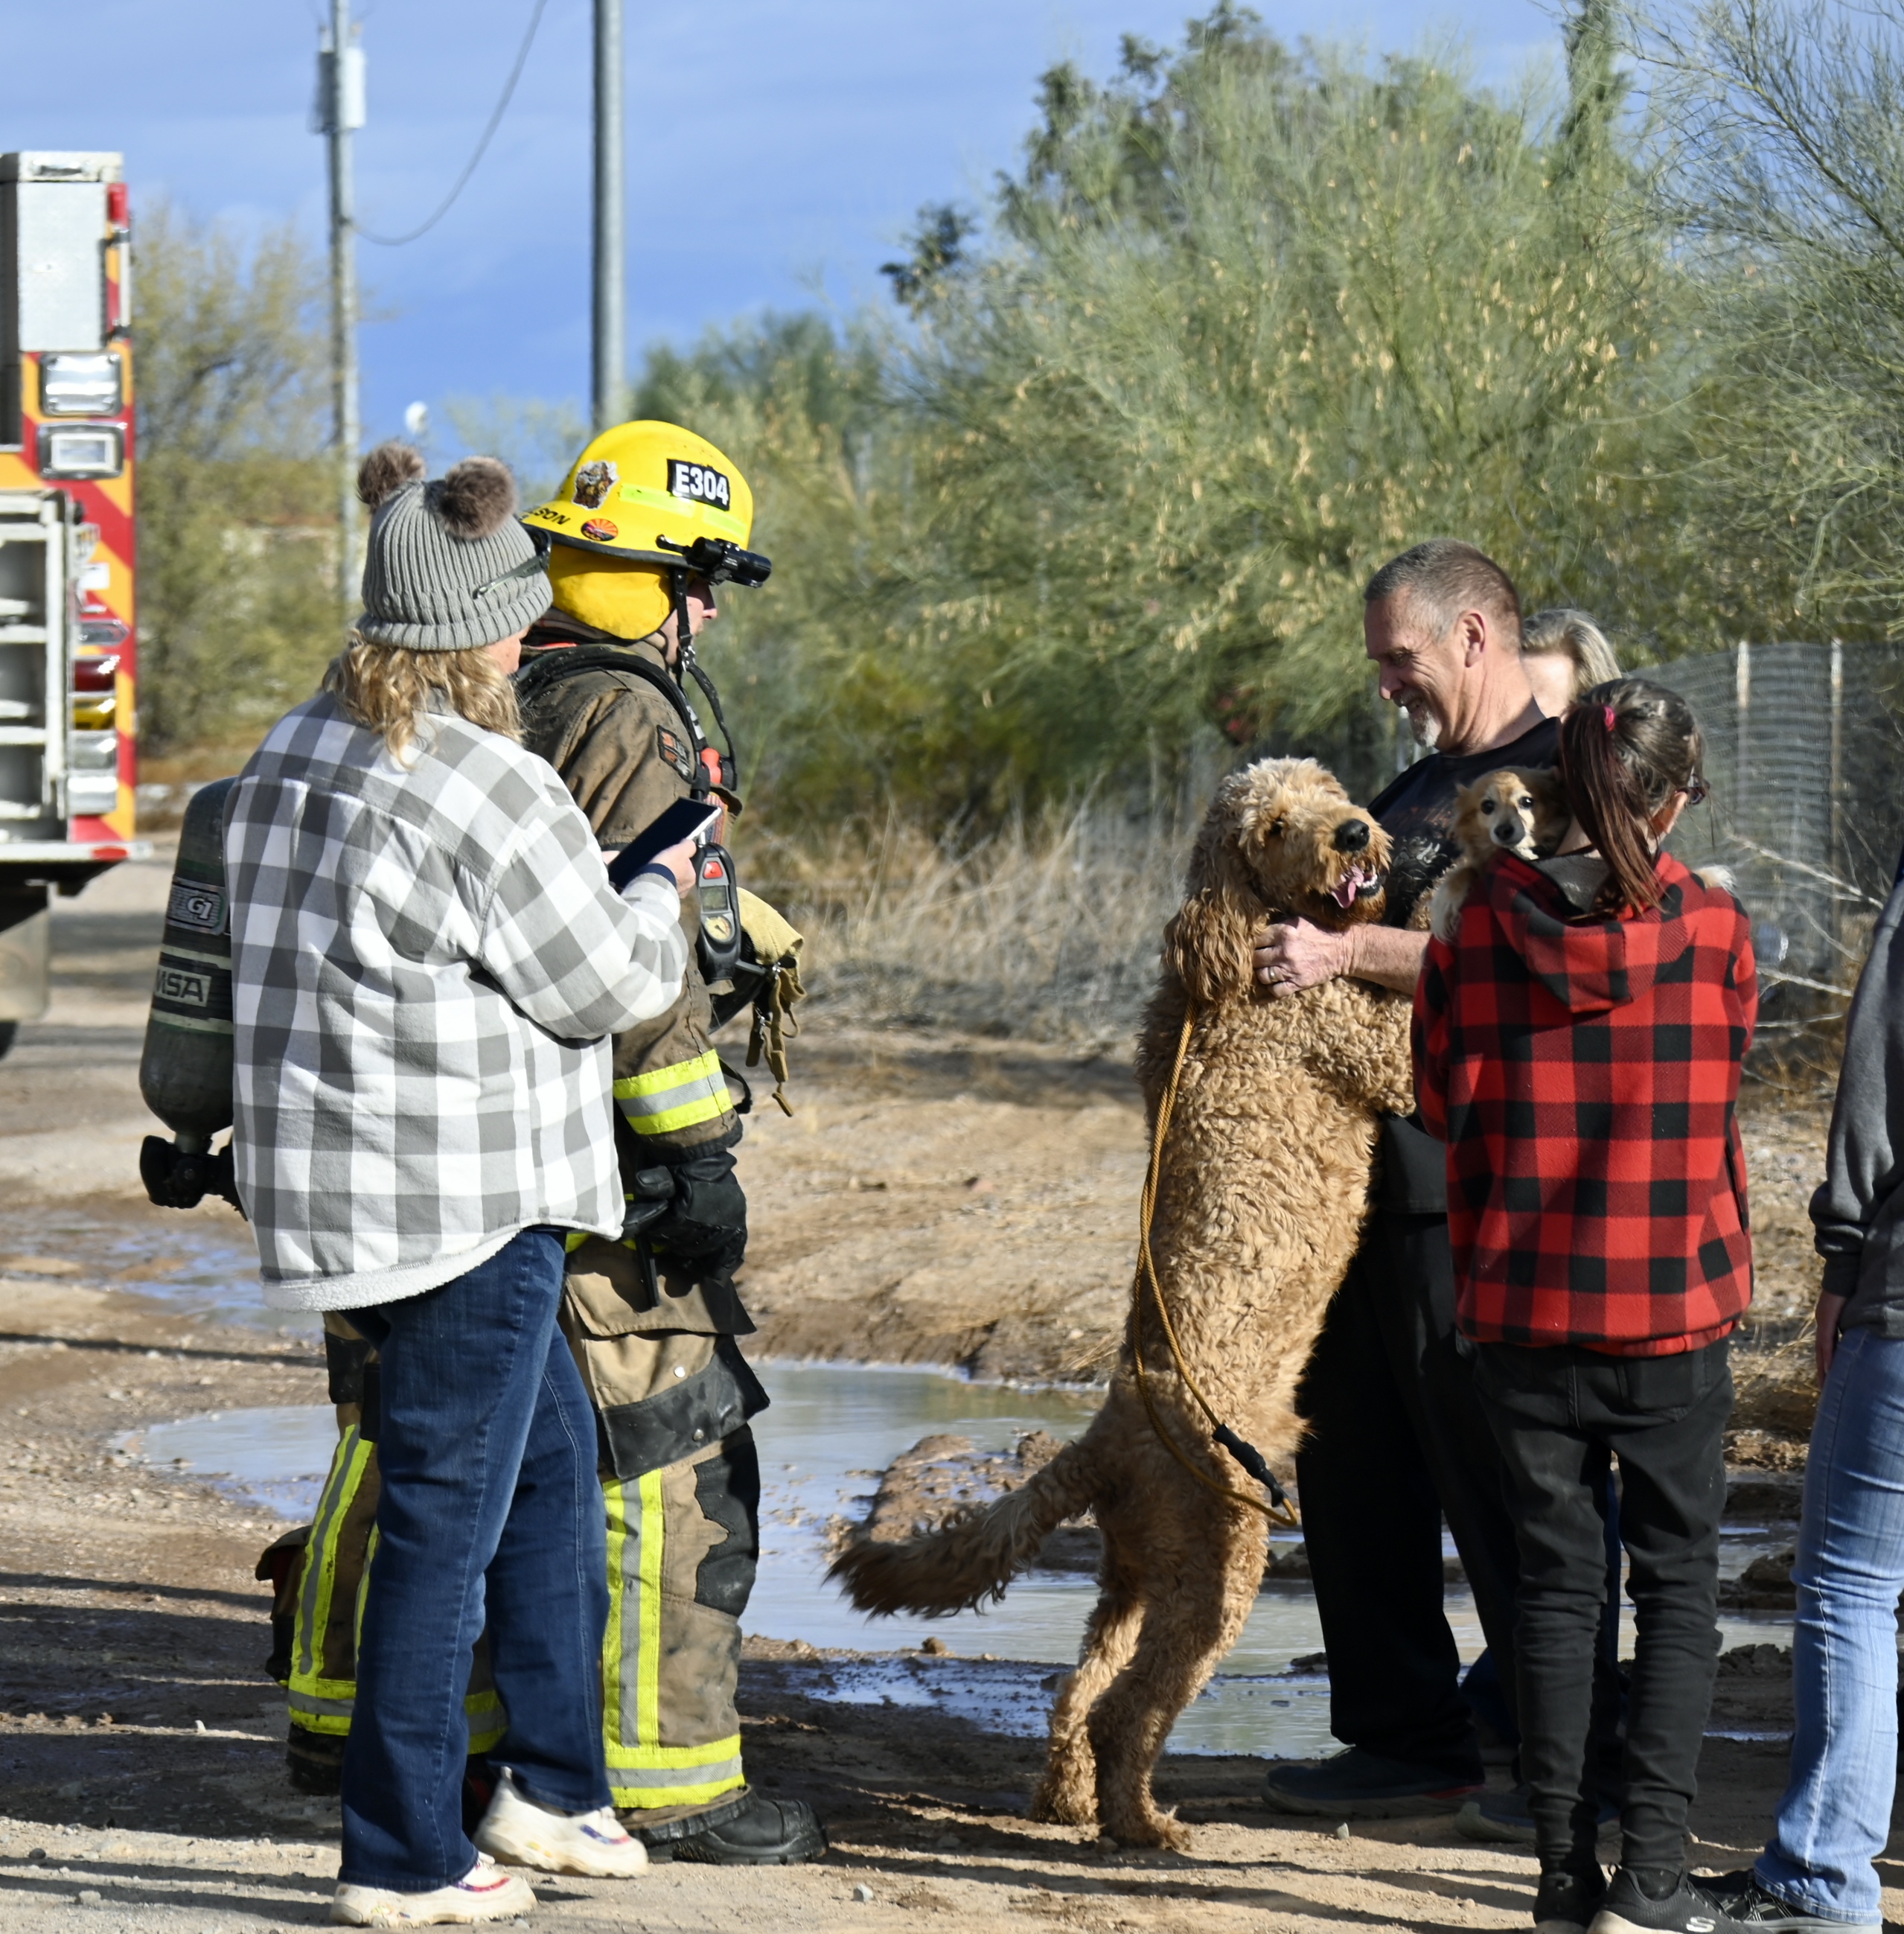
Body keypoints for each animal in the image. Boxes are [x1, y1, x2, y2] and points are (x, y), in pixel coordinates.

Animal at [829, 758, 1417, 1849]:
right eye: (1274, 828)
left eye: (1320, 783)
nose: (1355, 832)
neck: (1227, 959)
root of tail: (1102, 1437)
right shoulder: (1374, 1049)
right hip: (1215, 1568)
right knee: (1129, 1708)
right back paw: (1144, 1825)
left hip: (1136, 1577)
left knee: (1076, 1691)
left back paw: (1068, 1800)